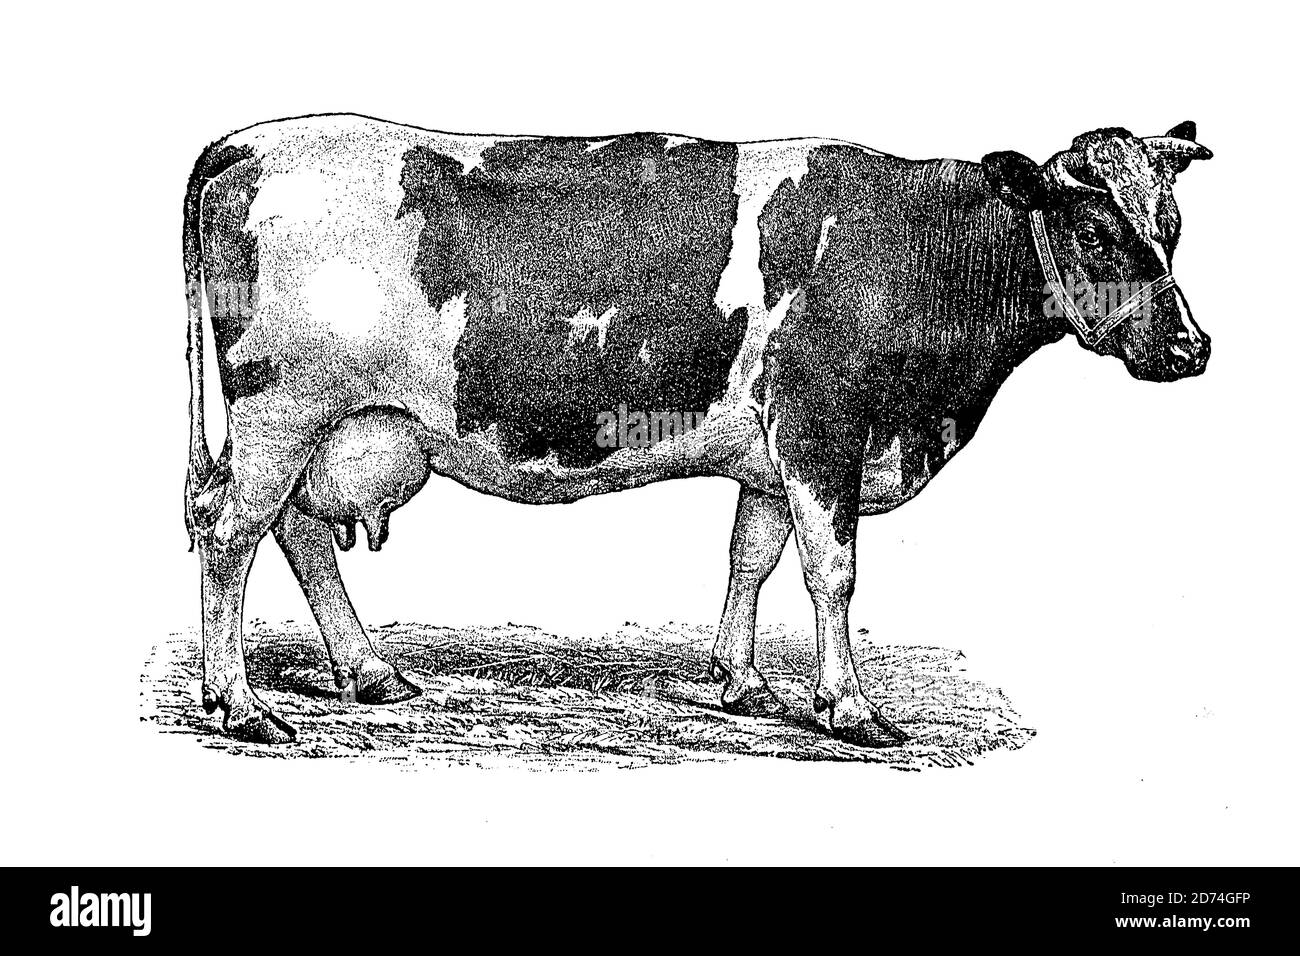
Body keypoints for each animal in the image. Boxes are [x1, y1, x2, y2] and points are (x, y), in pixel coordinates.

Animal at [183, 114, 1212, 746]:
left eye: (1171, 225)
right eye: (1096, 233)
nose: (1191, 347)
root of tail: (246, 144)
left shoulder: (768, 453)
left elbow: (751, 555)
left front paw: (743, 683)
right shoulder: (822, 426)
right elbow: (832, 571)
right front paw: (849, 707)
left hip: (331, 425)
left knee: (298, 534)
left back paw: (368, 672)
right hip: (281, 411)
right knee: (228, 533)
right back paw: (238, 704)